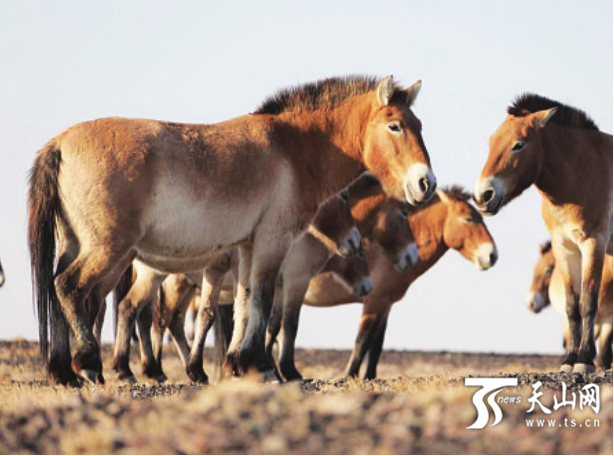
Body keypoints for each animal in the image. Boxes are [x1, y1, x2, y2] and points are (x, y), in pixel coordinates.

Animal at [28, 75, 438, 384]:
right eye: (395, 126)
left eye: (419, 126)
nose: (426, 183)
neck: (293, 148)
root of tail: (59, 144)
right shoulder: (273, 241)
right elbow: (263, 301)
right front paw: (260, 366)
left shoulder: (246, 247)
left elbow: (243, 303)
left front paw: (237, 363)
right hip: (107, 250)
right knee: (69, 287)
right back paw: (89, 364)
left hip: (79, 244)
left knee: (58, 289)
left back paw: (64, 372)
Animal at [268, 186, 498, 382]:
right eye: (468, 218)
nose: (492, 255)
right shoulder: (374, 301)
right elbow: (362, 341)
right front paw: (349, 376)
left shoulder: (386, 305)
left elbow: (376, 345)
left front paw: (369, 376)